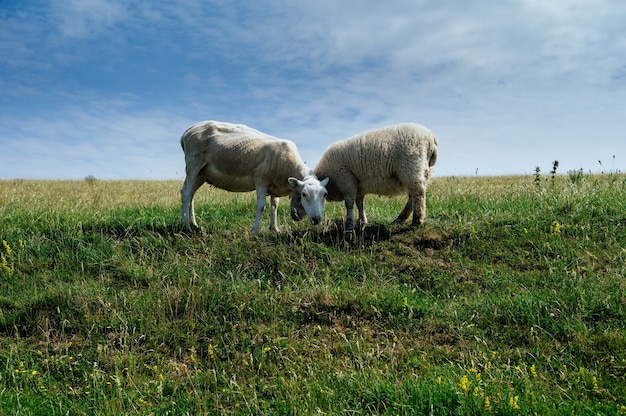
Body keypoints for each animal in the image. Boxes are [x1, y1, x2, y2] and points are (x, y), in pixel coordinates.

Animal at [179, 119, 330, 234]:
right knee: (186, 193)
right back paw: (186, 226)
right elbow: (261, 206)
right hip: (193, 165)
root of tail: (187, 132)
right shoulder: (261, 180)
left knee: (191, 195)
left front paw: (275, 228)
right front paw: (254, 230)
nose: (317, 219)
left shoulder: (275, 185)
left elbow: (274, 206)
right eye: (304, 194)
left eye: (325, 195)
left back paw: (194, 224)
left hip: (201, 173)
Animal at [290, 122, 436, 232]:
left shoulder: (346, 181)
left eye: (300, 195)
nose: (293, 216)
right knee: (413, 197)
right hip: (423, 171)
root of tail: (432, 139)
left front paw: (349, 226)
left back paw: (417, 220)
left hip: (411, 168)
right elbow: (360, 204)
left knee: (418, 194)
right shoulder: (358, 186)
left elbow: (349, 205)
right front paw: (362, 221)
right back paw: (401, 219)